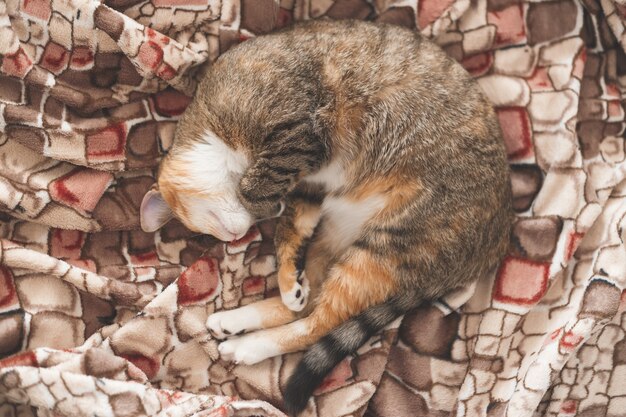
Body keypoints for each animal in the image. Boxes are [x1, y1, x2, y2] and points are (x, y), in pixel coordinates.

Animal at [140, 18, 512, 412]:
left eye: (209, 231)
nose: (236, 237)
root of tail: (497, 241)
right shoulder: (310, 190)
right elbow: (288, 236)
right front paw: (289, 281)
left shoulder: (297, 131)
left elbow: (255, 187)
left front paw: (262, 203)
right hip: (342, 234)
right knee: (312, 304)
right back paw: (242, 317)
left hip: (387, 245)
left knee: (320, 324)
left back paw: (249, 345)